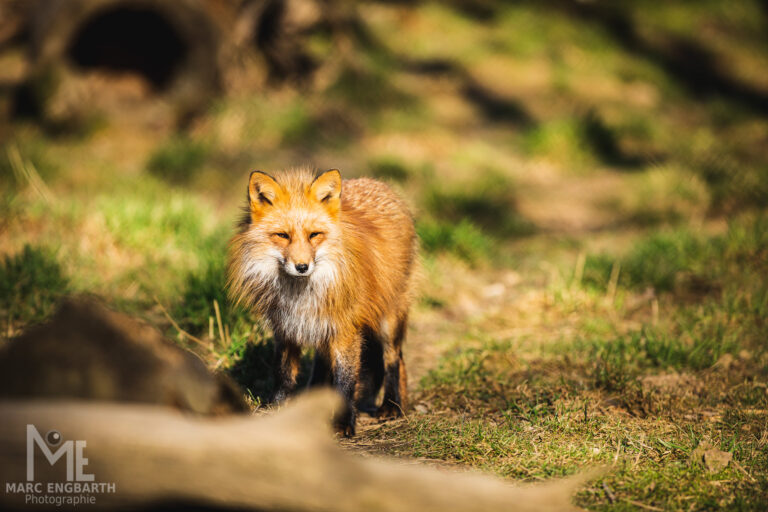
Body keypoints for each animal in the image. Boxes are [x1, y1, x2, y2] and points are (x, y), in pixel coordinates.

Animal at [227, 167, 417, 436]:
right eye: (282, 236)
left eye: (314, 235)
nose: (302, 267)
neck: (300, 294)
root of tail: (379, 184)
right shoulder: (285, 326)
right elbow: (283, 373)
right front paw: (276, 410)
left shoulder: (346, 329)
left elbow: (346, 382)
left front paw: (343, 423)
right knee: (325, 364)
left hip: (389, 318)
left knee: (394, 359)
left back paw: (392, 405)